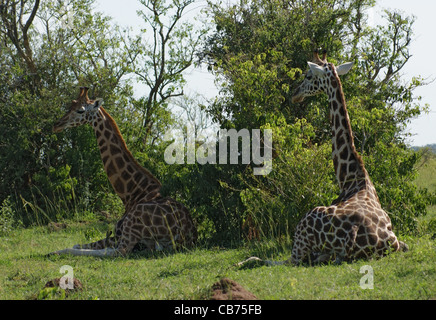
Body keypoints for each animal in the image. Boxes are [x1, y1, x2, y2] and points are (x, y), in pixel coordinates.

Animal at [49, 87, 196, 258]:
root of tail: (186, 237)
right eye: (70, 106)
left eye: (80, 110)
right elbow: (79, 243)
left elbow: (83, 245)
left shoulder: (120, 233)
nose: (56, 125)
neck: (132, 193)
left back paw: (55, 252)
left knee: (118, 252)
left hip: (133, 224)